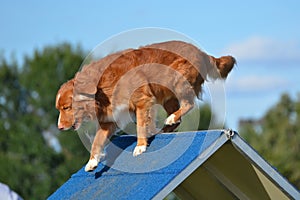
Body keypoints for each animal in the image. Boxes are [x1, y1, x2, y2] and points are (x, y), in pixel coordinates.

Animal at [55, 41, 236, 172]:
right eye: (60, 109)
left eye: (66, 108)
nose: (59, 127)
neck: (101, 88)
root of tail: (202, 52)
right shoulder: (109, 121)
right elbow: (97, 141)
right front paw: (92, 161)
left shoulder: (142, 102)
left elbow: (141, 125)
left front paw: (140, 147)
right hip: (167, 95)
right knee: (178, 118)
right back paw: (164, 128)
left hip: (174, 79)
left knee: (188, 104)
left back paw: (170, 119)